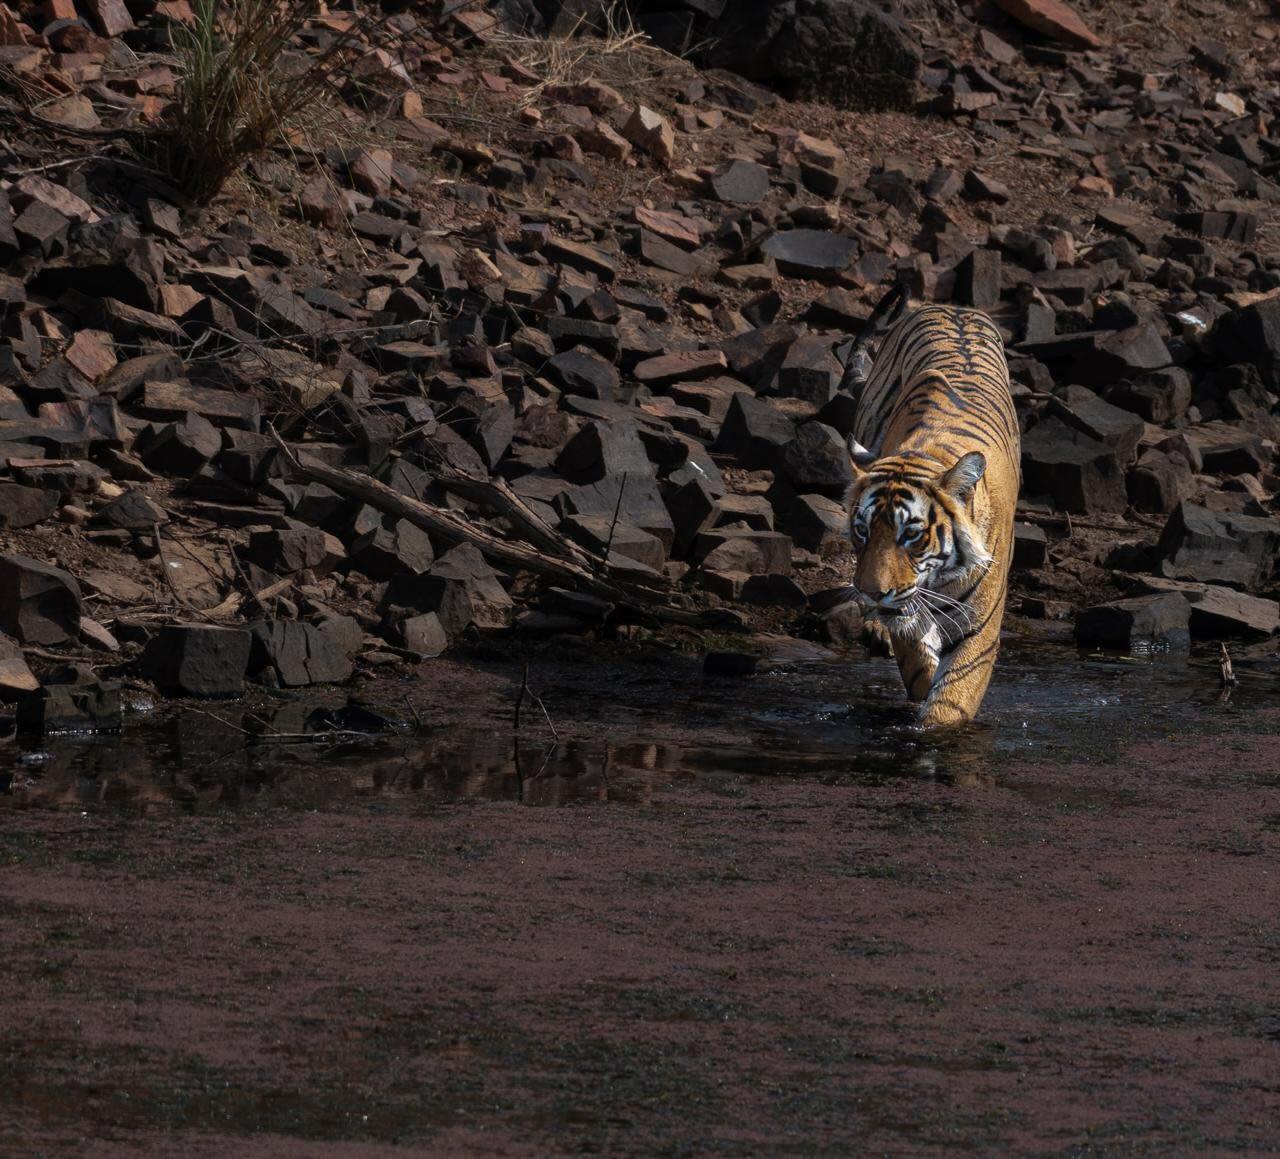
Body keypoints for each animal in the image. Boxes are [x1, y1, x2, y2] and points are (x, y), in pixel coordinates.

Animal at [837, 284, 1020, 728]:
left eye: (911, 535)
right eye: (862, 531)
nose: (872, 593)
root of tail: (949, 305)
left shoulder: (979, 630)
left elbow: (951, 700)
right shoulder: (904, 611)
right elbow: (916, 660)